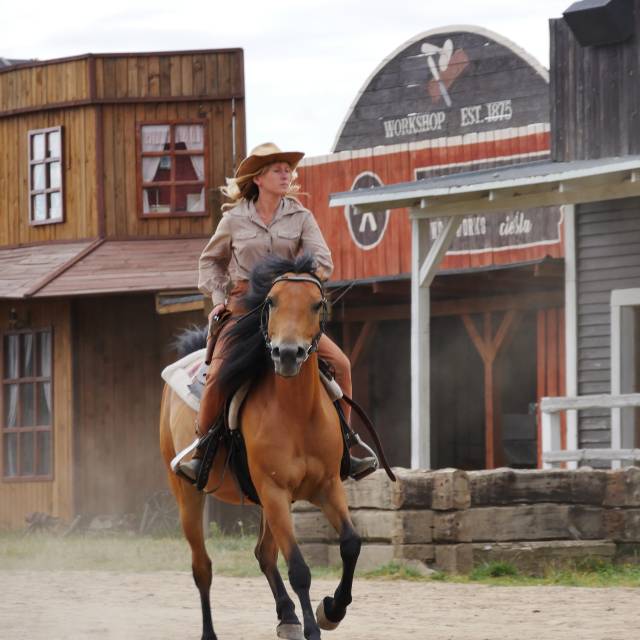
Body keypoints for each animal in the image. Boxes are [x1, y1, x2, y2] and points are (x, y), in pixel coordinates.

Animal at [159, 254, 362, 640]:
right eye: (271, 302)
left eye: (316, 304)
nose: (287, 354)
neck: (296, 413)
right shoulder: (275, 491)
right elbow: (299, 567)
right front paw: (314, 626)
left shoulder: (327, 486)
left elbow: (350, 543)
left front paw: (331, 610)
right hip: (188, 495)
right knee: (202, 567)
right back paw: (211, 633)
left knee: (264, 554)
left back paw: (287, 616)